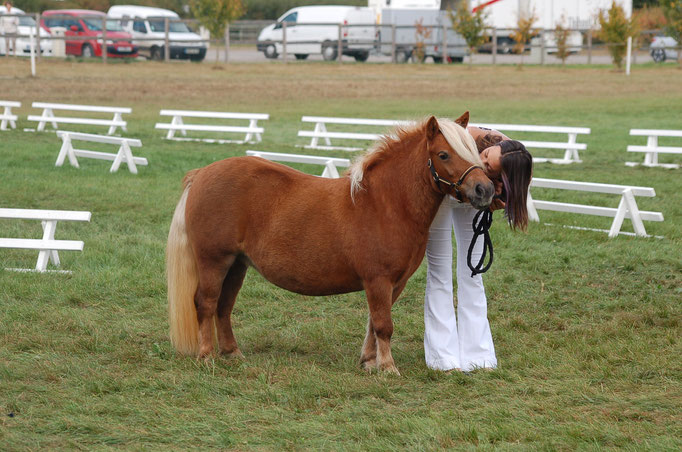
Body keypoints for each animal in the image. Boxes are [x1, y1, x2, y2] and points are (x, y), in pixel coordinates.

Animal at [167, 112, 492, 374]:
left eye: (472, 149)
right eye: (443, 154)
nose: (485, 189)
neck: (384, 203)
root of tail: (201, 174)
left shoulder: (393, 284)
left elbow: (374, 323)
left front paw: (369, 362)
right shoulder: (378, 280)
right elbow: (383, 325)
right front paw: (388, 367)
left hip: (237, 265)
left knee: (224, 306)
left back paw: (232, 353)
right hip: (214, 261)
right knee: (206, 303)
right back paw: (207, 356)